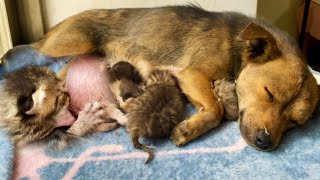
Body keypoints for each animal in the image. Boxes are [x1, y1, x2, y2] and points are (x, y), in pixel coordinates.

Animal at [1, 5, 318, 150]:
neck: (237, 50)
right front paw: (189, 128)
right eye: (268, 93)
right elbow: (214, 109)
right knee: (30, 52)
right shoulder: (192, 74)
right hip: (69, 43)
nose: (265, 142)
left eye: (295, 122)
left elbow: (216, 105)